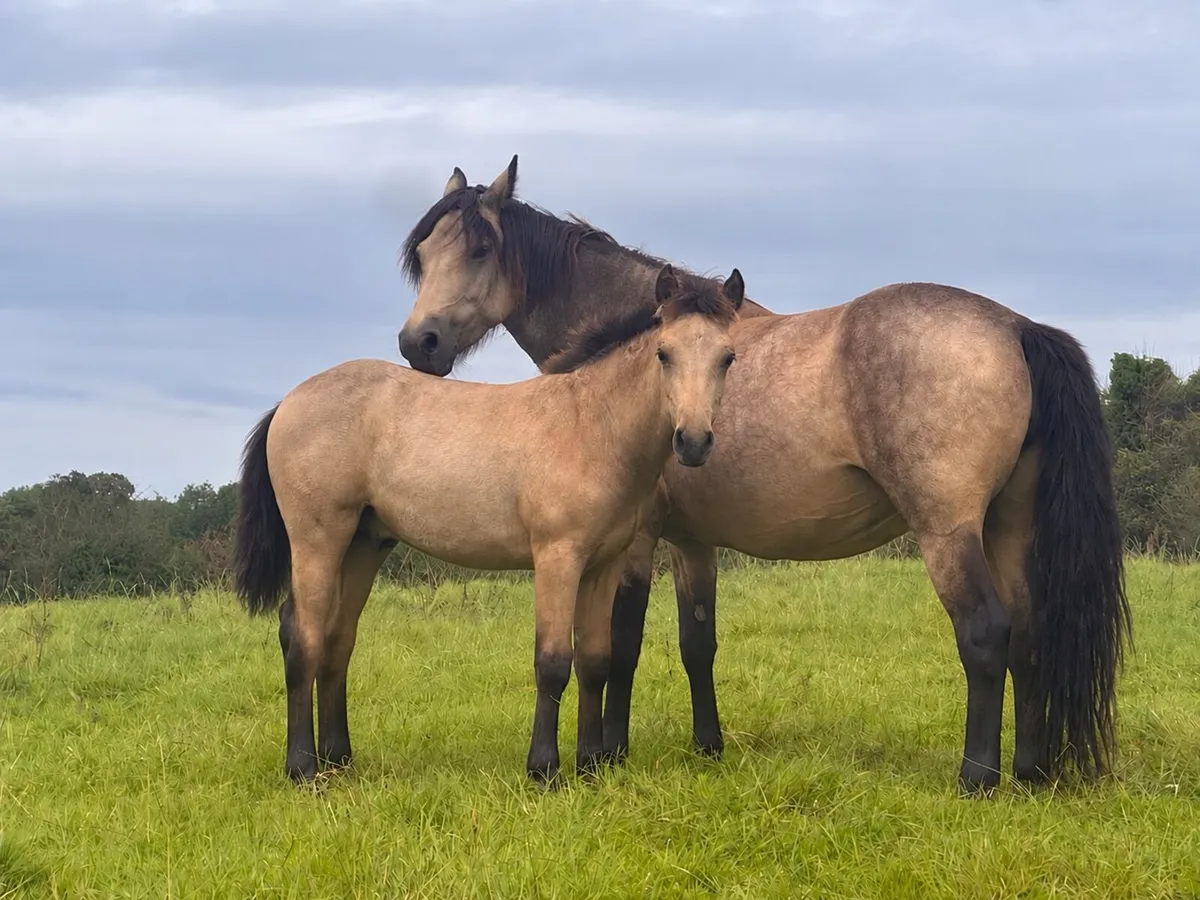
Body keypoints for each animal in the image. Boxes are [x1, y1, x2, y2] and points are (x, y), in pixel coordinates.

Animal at [233, 265, 745, 785]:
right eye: (664, 353)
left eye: (727, 357)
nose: (693, 442)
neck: (591, 426)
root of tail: (288, 402)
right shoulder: (558, 558)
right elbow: (553, 661)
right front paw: (544, 769)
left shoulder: (603, 566)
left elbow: (595, 661)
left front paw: (590, 766)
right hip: (318, 541)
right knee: (303, 637)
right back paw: (302, 768)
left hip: (363, 546)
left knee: (337, 641)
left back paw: (338, 759)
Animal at [394, 156, 1132, 794]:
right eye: (424, 255)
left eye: (480, 249)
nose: (416, 344)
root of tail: (1016, 328)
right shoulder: (693, 543)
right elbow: (697, 642)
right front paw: (707, 746)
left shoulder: (637, 539)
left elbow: (622, 644)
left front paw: (608, 753)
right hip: (1010, 525)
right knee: (1030, 636)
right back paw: (1030, 773)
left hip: (948, 533)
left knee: (985, 635)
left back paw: (977, 777)